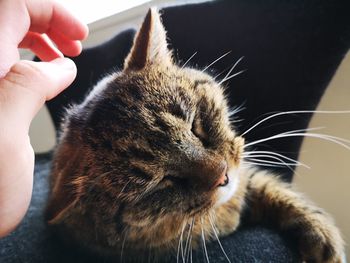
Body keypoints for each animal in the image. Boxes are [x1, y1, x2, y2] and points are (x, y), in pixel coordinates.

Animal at [45, 8, 344, 263]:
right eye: (161, 182)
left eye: (194, 124)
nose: (223, 176)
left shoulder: (246, 175)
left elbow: (272, 188)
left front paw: (319, 231)